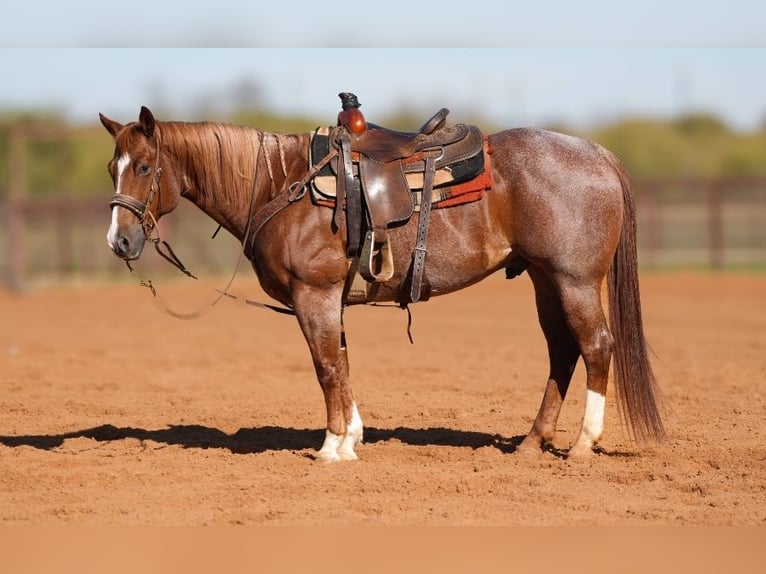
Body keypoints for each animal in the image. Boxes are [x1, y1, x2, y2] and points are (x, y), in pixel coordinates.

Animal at [100, 104, 664, 464]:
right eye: (112, 166)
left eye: (144, 166)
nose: (119, 241)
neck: (280, 185)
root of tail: (596, 153)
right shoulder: (330, 300)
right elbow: (343, 363)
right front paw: (351, 438)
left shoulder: (314, 295)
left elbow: (326, 367)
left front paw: (331, 448)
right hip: (546, 281)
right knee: (562, 353)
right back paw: (532, 443)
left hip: (575, 281)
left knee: (596, 347)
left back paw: (583, 445)